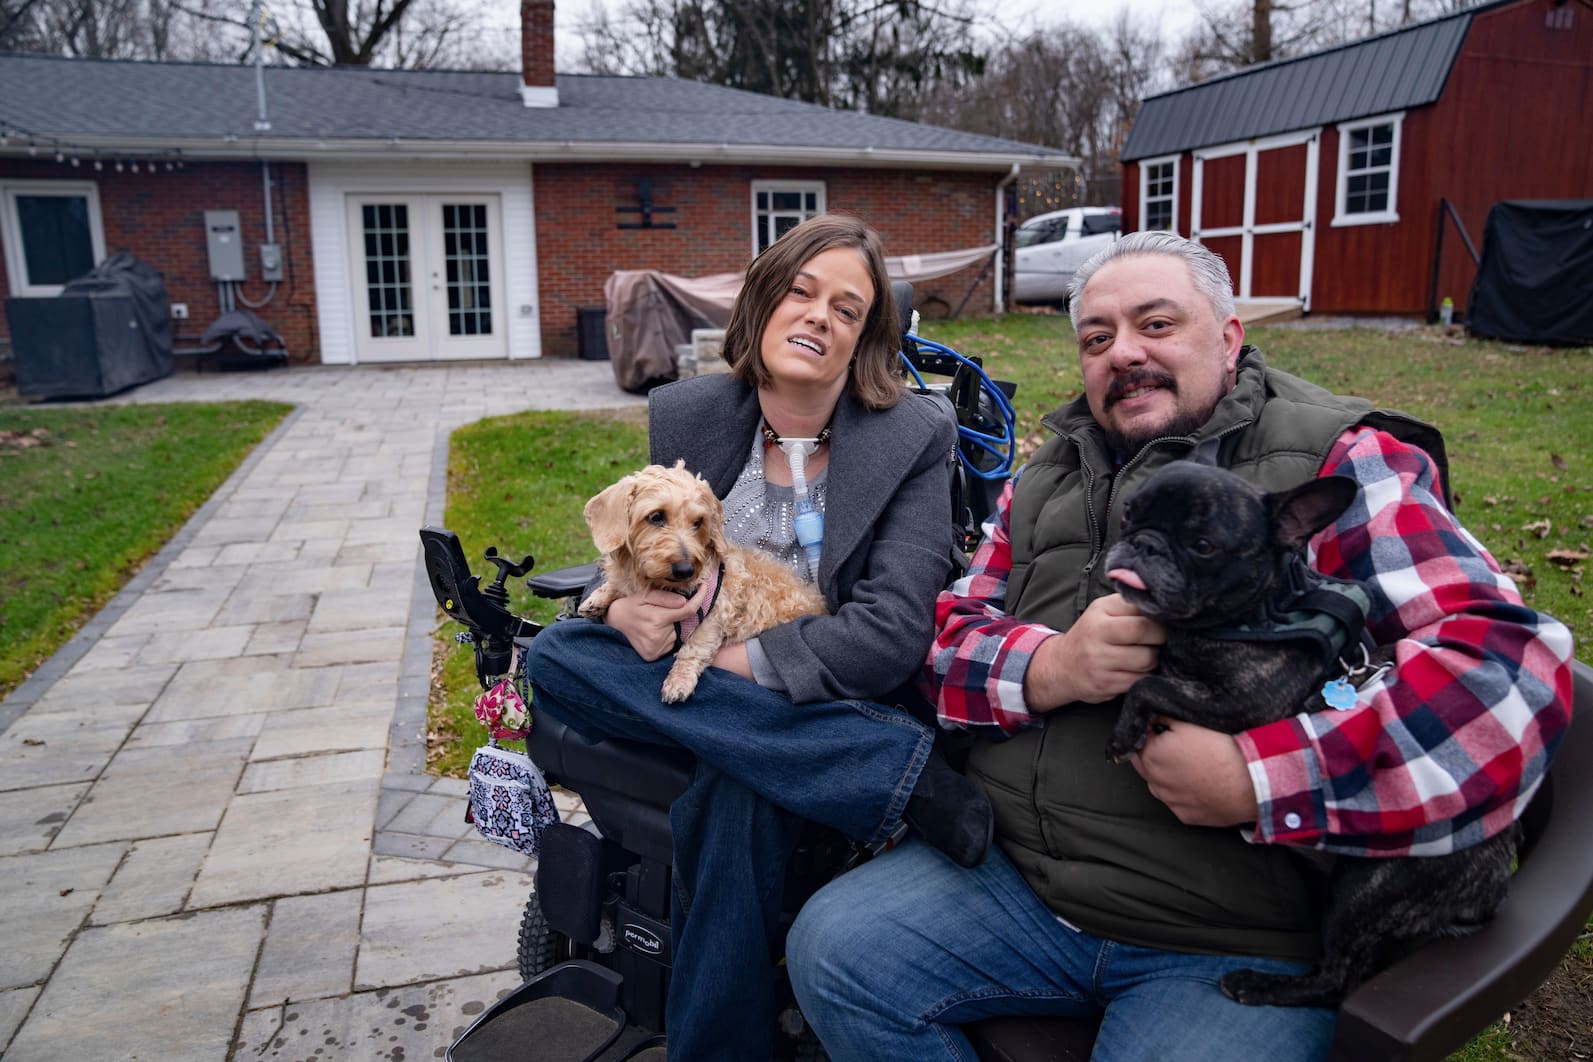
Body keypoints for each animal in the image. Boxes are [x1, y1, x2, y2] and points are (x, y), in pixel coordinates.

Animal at [579, 458, 828, 700]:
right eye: (656, 517)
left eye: (698, 522)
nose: (686, 570)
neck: (652, 581)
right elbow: (617, 586)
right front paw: (597, 599)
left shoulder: (716, 612)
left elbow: (694, 648)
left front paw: (679, 680)